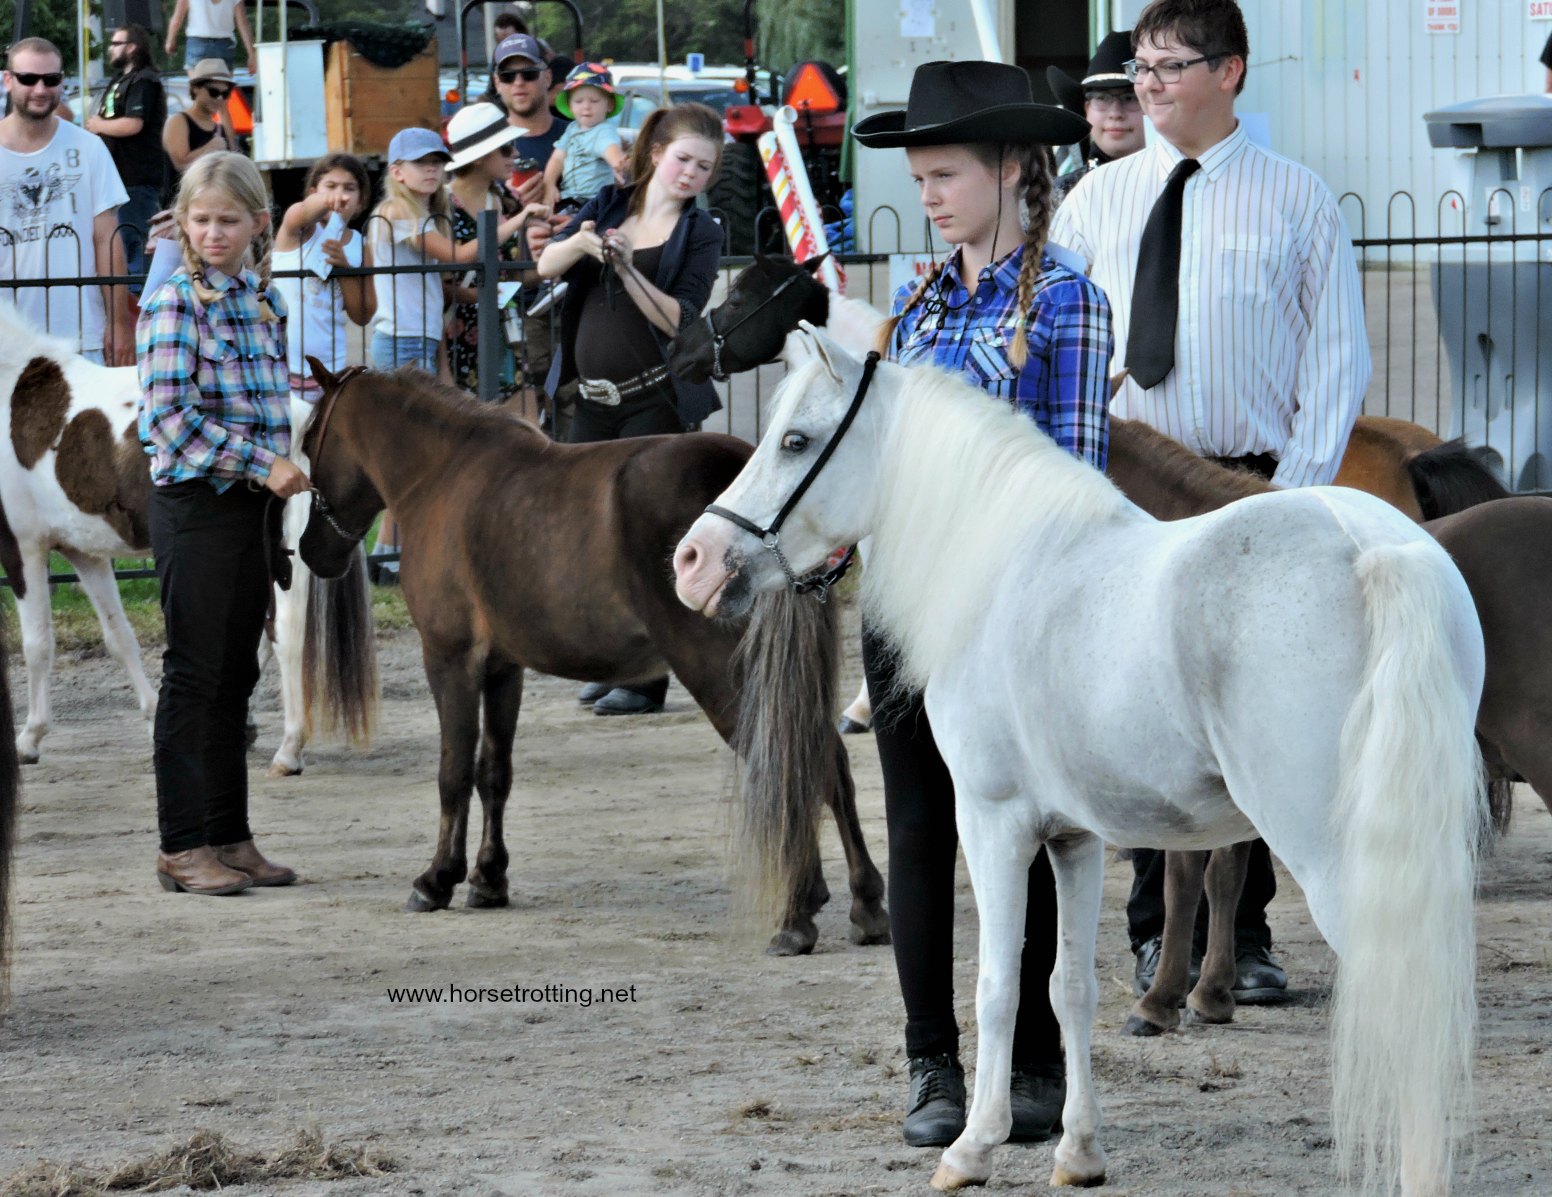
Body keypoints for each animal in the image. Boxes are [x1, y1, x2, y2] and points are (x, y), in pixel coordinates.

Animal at [0, 305, 370, 774]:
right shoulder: (83, 551)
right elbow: (119, 638)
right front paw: (150, 718)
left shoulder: (22, 546)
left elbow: (37, 645)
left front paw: (29, 739)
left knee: (285, 636)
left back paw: (289, 749)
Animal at [295, 360, 890, 955]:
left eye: (306, 441)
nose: (309, 551)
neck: (444, 474)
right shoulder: (503, 668)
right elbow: (493, 772)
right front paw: (488, 877)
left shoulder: (449, 658)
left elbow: (453, 772)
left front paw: (438, 878)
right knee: (824, 763)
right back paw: (862, 903)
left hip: (719, 673)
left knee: (798, 762)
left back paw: (798, 914)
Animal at [673, 328, 1484, 1196]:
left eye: (796, 440)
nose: (693, 559)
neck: (1006, 567)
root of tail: (1374, 548)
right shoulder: (1073, 836)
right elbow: (1069, 987)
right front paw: (1078, 1150)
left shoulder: (993, 821)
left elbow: (999, 985)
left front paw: (973, 1145)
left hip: (1331, 853)